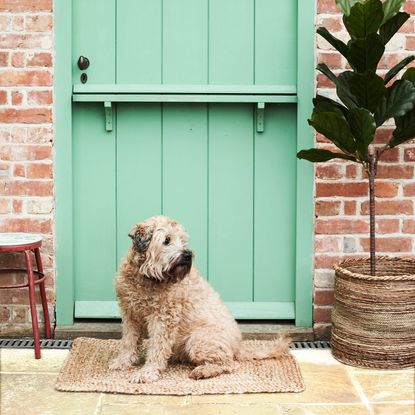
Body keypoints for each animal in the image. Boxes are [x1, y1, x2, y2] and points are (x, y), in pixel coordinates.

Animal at [109, 216, 290, 386]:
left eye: (183, 240)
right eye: (167, 240)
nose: (187, 255)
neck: (146, 277)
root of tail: (238, 345)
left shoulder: (163, 319)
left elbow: (157, 348)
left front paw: (147, 372)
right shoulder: (130, 315)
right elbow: (128, 341)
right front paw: (123, 362)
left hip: (198, 340)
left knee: (229, 364)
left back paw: (202, 371)